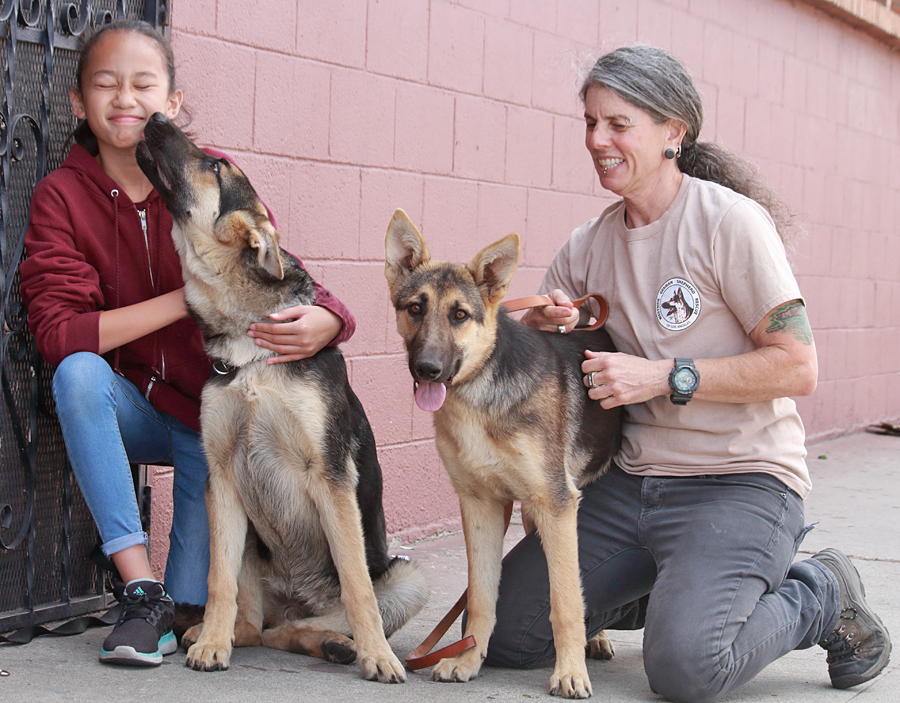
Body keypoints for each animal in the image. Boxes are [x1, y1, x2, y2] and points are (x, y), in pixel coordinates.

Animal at [135, 114, 428, 684]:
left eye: (215, 165)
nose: (156, 117)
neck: (250, 344)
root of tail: (294, 602)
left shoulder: (331, 477)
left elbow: (357, 584)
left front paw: (378, 656)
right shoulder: (222, 476)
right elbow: (218, 580)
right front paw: (212, 643)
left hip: (408, 573)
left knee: (317, 620)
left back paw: (343, 645)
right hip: (249, 540)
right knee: (258, 628)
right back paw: (214, 633)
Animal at [384, 210, 622, 699]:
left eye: (459, 315)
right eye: (415, 308)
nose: (427, 370)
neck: (480, 390)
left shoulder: (556, 505)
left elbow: (565, 601)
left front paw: (570, 672)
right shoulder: (482, 506)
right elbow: (480, 597)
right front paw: (469, 659)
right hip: (531, 515)